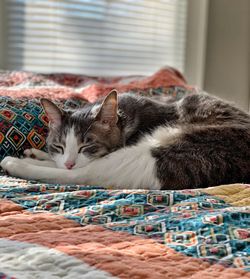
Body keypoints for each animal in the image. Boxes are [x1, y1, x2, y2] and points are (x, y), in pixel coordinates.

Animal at [0, 89, 250, 190]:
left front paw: (28, 159)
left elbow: (77, 170)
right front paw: (38, 153)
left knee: (85, 174)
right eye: (58, 146)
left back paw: (15, 163)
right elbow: (56, 161)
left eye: (87, 145)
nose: (69, 161)